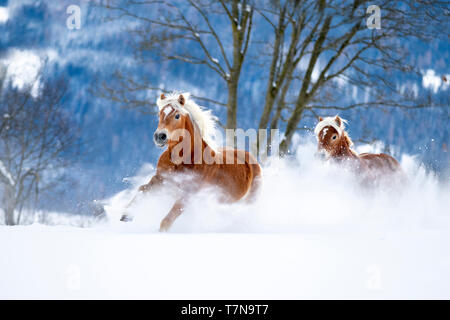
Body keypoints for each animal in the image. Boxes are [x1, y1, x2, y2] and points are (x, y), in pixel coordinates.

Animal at [119, 92, 262, 230]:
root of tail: (253, 160)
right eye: (160, 114)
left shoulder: (189, 194)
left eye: (177, 116)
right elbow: (142, 189)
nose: (160, 136)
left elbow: (166, 221)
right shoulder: (161, 178)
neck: (181, 161)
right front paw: (126, 215)